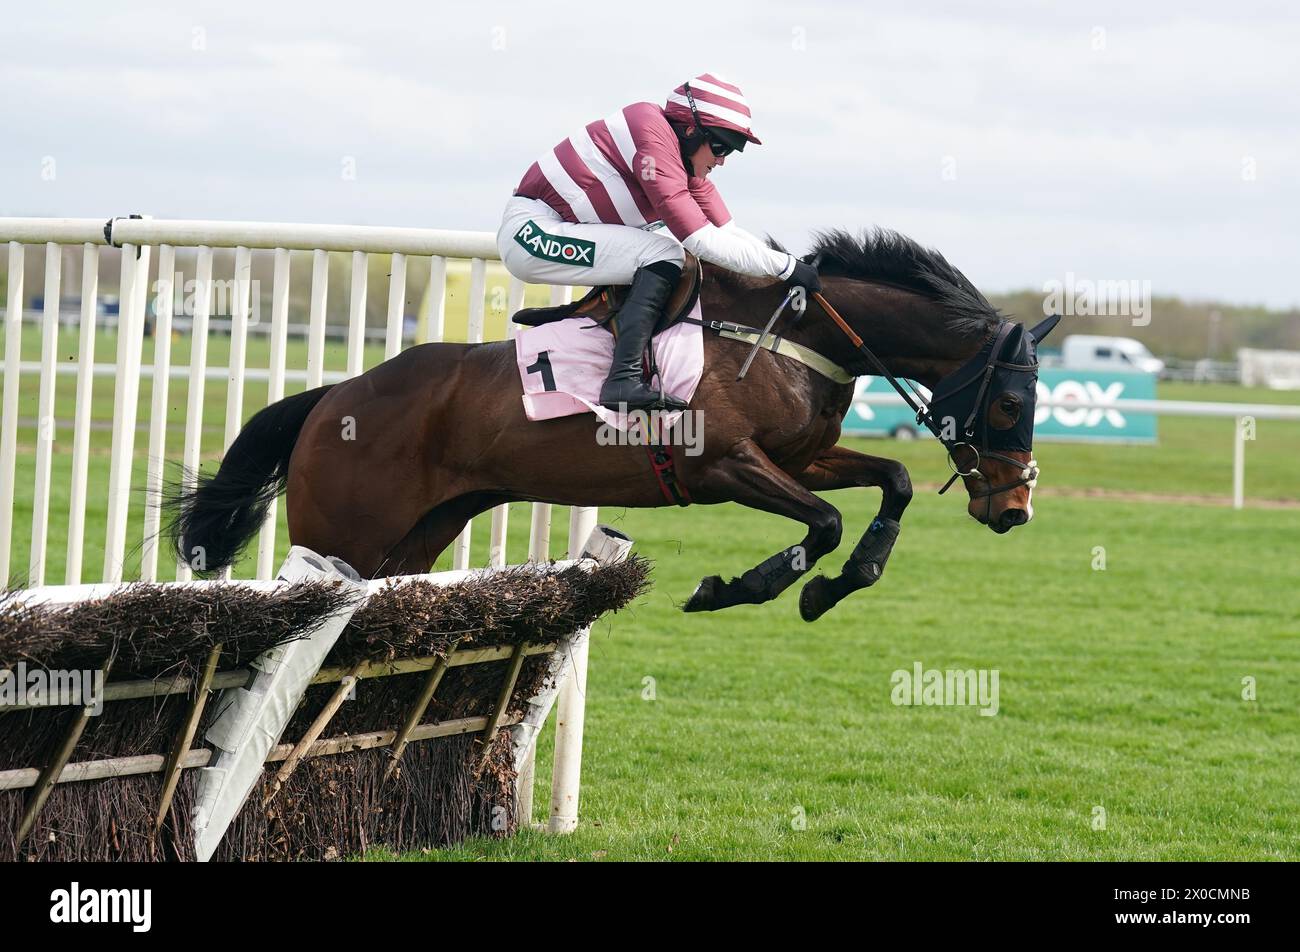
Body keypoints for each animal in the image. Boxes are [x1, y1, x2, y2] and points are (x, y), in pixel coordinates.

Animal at [165, 226, 1055, 621]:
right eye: (1011, 404)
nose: (1015, 508)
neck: (793, 335)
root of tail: (335, 395)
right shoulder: (723, 465)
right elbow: (826, 522)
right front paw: (740, 588)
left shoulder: (802, 458)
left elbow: (892, 481)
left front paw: (838, 585)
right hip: (341, 535)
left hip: (415, 536)